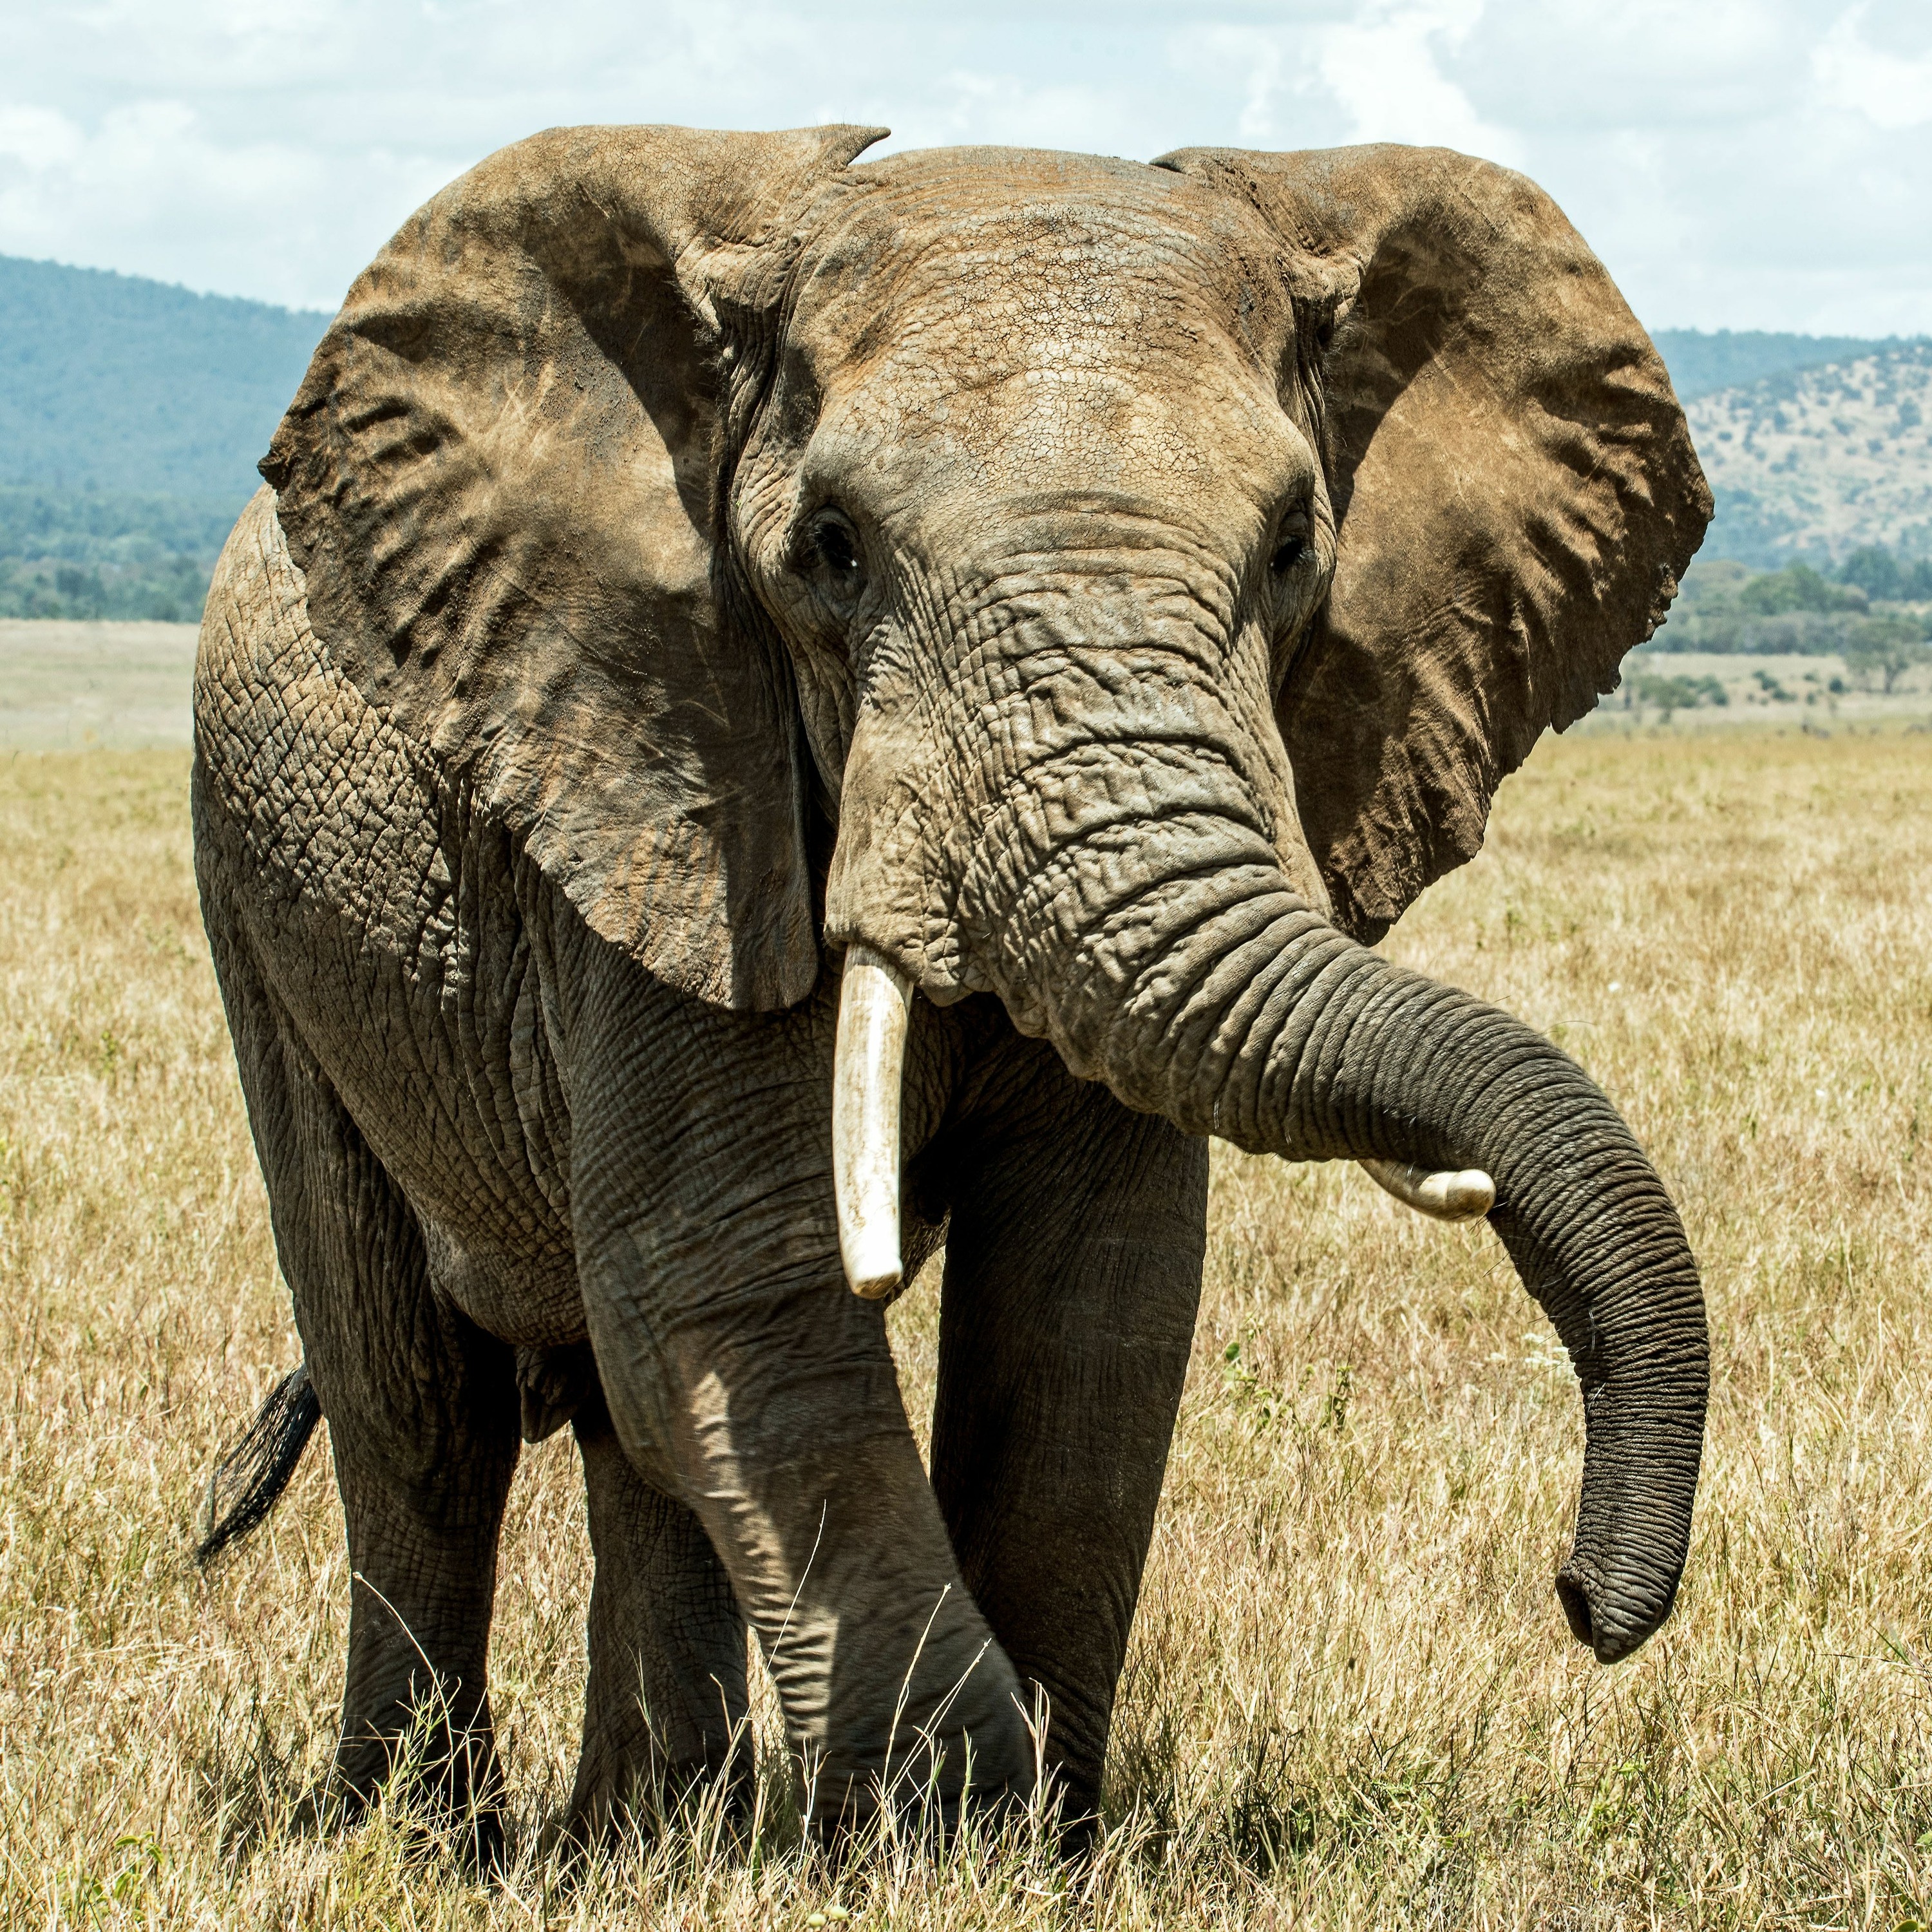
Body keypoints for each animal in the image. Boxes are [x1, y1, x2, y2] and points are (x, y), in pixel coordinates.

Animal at [190, 121, 1713, 1853]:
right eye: (831, 552)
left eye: (1291, 549)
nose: (1585, 1599)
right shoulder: (670, 783)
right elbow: (737, 1280)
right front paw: (950, 1830)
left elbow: (1089, 1304)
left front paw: (1035, 1841)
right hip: (263, 899)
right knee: (416, 1401)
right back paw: (423, 1838)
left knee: (619, 1420)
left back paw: (647, 1840)